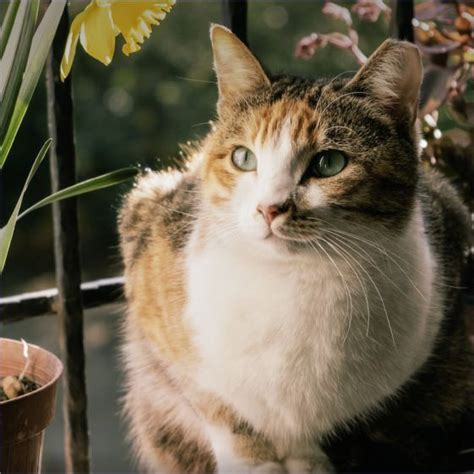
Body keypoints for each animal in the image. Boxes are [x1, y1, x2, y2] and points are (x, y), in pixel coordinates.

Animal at [117, 25, 470, 474]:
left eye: (329, 164)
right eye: (243, 157)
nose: (269, 208)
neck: (291, 279)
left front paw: (308, 462)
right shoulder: (149, 256)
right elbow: (217, 404)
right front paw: (253, 462)